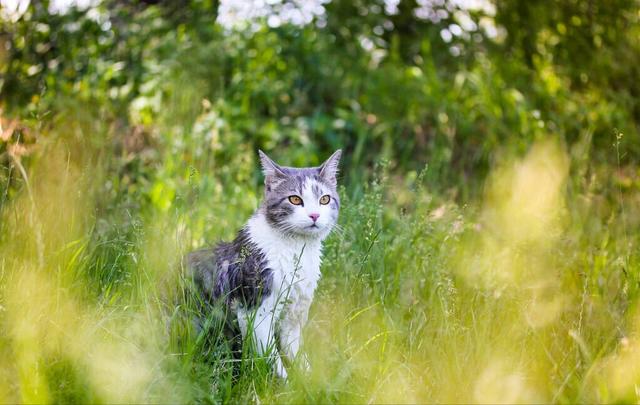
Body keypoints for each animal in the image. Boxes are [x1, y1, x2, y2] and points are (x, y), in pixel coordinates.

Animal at [188, 148, 342, 378]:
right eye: (294, 199)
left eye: (324, 199)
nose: (314, 215)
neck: (296, 249)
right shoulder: (254, 312)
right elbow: (273, 361)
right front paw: (284, 385)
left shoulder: (293, 315)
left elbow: (298, 357)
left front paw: (311, 382)